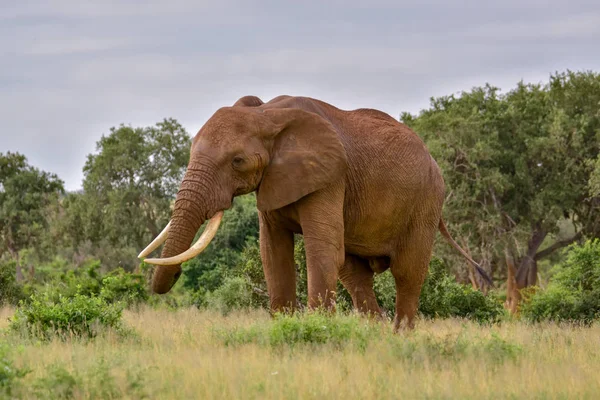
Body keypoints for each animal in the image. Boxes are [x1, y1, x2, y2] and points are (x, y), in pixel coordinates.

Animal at [138, 94, 490, 332]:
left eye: (237, 161)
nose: (177, 276)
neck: (266, 114)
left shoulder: (330, 177)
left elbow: (320, 251)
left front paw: (318, 328)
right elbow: (273, 253)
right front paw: (284, 327)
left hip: (426, 201)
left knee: (407, 272)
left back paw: (399, 337)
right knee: (355, 273)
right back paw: (375, 332)